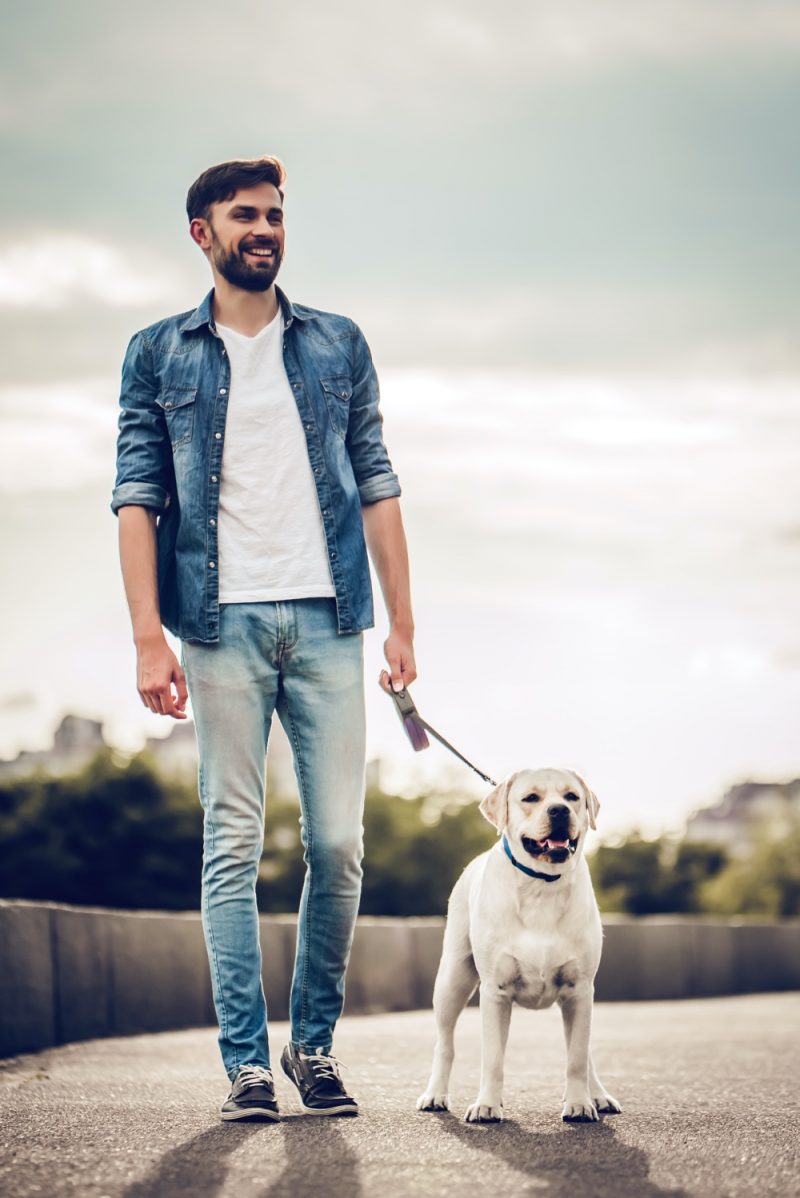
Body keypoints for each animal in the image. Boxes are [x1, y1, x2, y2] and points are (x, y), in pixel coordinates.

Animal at [416, 766, 622, 1121]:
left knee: (583, 1052)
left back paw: (598, 1094)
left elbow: (577, 1058)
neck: (542, 885)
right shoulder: (495, 991)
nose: (559, 811)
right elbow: (493, 1059)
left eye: (572, 797)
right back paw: (435, 1094)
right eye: (530, 798)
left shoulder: (580, 989)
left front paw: (579, 1102)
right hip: (452, 980)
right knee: (445, 1044)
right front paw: (487, 1104)